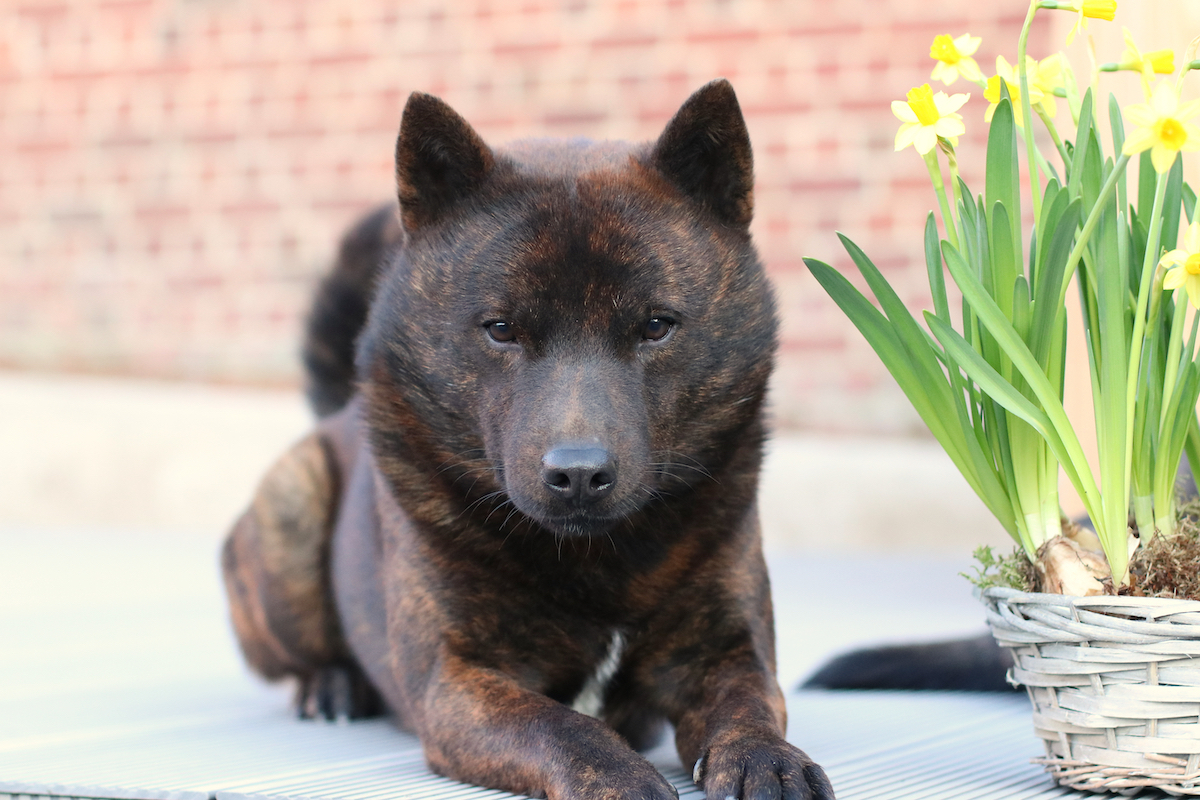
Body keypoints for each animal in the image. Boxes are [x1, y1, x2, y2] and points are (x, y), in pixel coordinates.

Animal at [220, 79, 835, 800]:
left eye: (657, 325)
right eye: (501, 328)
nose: (579, 475)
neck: (596, 562)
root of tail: (336, 414)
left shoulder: (727, 648)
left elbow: (750, 705)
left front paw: (767, 758)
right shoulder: (459, 682)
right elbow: (562, 726)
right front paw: (618, 778)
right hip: (291, 505)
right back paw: (333, 685)